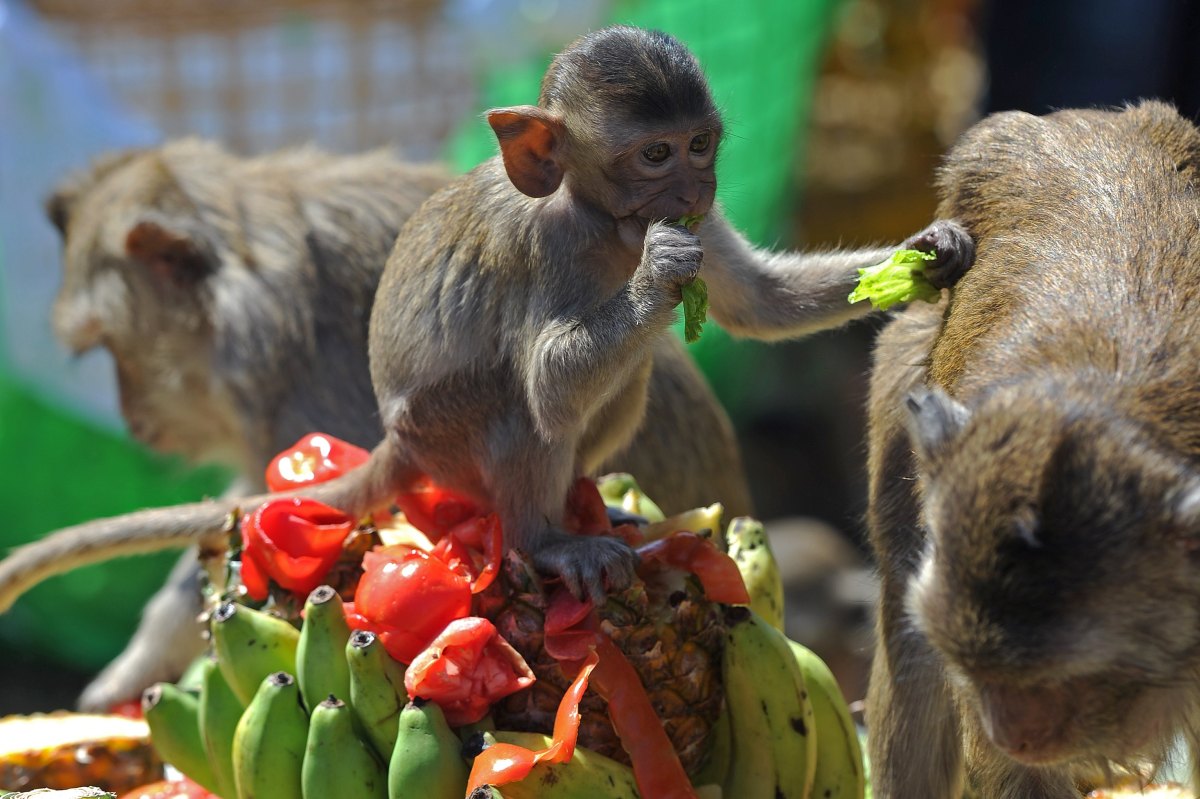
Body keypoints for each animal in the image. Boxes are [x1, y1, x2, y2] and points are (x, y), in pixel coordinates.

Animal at [4, 26, 969, 705]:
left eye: (700, 146)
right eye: (654, 154)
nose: (694, 188)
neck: (601, 220)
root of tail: (401, 447)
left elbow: (756, 303)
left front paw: (930, 255)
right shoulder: (555, 253)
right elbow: (545, 383)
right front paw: (656, 276)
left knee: (617, 386)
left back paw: (590, 509)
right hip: (445, 436)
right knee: (516, 404)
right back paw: (545, 537)